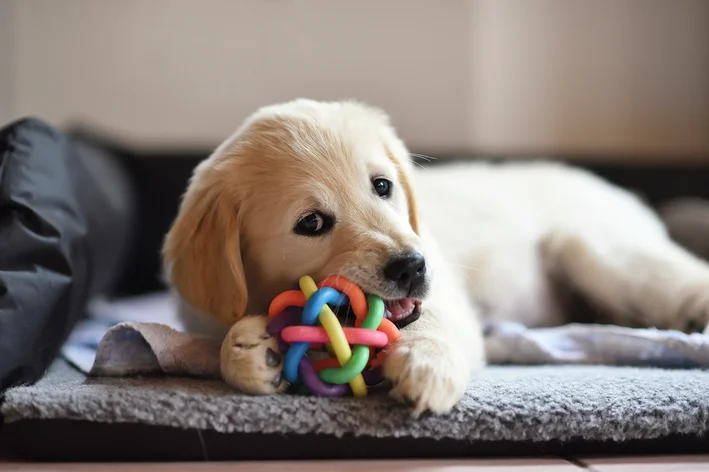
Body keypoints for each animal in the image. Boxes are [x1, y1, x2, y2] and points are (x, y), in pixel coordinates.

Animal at [166, 98, 709, 412]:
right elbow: (223, 342)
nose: (412, 267)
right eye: (311, 223)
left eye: (382, 186)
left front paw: (426, 365)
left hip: (596, 251)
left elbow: (432, 322)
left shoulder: (445, 293)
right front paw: (251, 349)